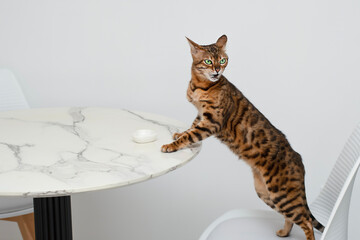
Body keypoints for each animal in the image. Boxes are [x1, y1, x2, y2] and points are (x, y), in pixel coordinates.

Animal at [162, 34, 324, 239]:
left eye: (223, 60)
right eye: (208, 61)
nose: (217, 70)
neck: (199, 86)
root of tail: (298, 158)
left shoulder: (212, 122)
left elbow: (191, 135)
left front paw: (171, 145)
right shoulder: (200, 116)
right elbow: (190, 128)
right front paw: (178, 134)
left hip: (282, 193)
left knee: (305, 221)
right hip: (266, 193)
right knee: (293, 218)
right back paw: (284, 232)